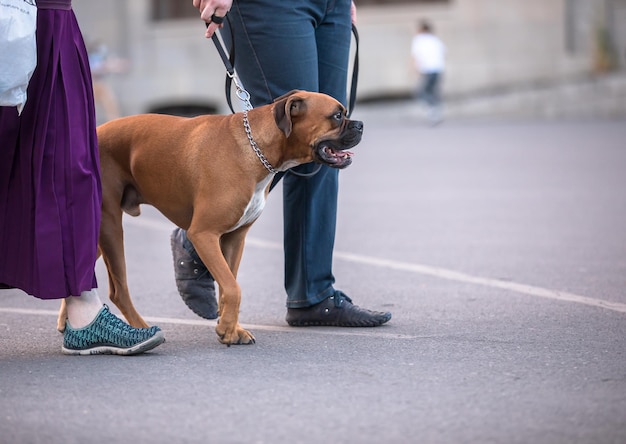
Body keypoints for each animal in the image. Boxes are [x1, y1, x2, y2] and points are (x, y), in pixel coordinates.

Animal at [58, 90, 364, 346]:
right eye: (337, 116)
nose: (360, 124)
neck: (256, 149)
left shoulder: (233, 240)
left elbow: (228, 286)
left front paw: (230, 328)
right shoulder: (204, 235)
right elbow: (233, 287)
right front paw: (226, 328)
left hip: (96, 233)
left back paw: (69, 322)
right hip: (110, 227)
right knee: (118, 291)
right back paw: (141, 330)